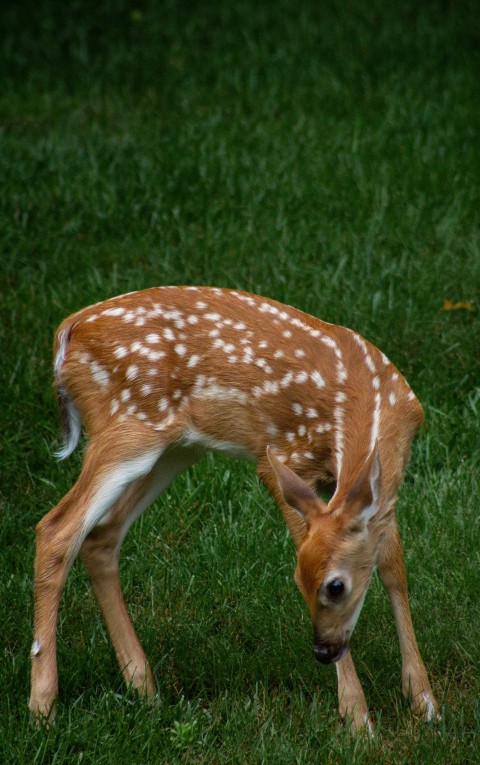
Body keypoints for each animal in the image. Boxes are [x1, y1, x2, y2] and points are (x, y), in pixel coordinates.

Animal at [28, 286, 436, 728]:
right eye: (299, 581)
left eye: (335, 586)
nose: (322, 651)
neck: (364, 402)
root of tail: (68, 330)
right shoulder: (280, 461)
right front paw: (357, 717)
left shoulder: (379, 494)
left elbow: (394, 568)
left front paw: (423, 699)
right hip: (126, 427)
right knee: (57, 529)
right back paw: (43, 705)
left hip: (174, 448)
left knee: (101, 536)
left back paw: (144, 688)